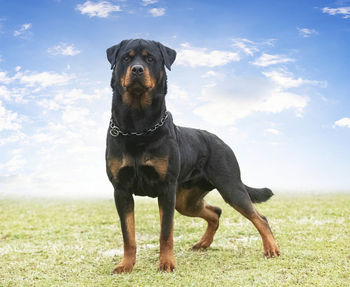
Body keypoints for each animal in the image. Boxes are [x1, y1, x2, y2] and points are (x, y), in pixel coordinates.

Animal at [104, 38, 278, 274]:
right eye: (126, 58)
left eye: (150, 59)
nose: (137, 69)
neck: (138, 126)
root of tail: (221, 142)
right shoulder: (121, 190)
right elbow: (128, 235)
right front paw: (126, 265)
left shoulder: (166, 189)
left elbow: (165, 232)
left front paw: (167, 264)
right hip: (186, 200)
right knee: (215, 212)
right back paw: (203, 243)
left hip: (230, 187)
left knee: (260, 217)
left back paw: (271, 248)